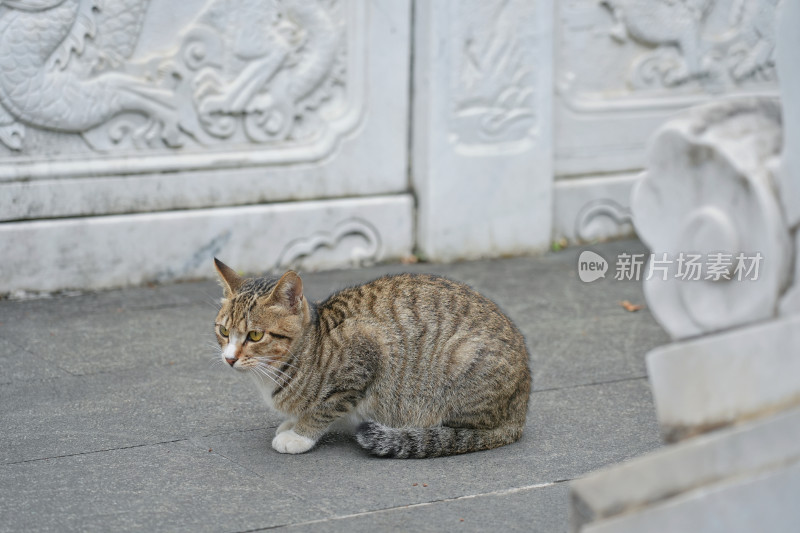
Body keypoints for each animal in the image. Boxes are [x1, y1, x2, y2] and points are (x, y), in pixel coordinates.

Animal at [214, 258, 532, 458]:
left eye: (255, 336)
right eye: (223, 331)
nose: (229, 358)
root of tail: (520, 409)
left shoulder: (364, 357)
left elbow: (324, 408)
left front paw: (300, 433)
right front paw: (292, 422)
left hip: (461, 358)